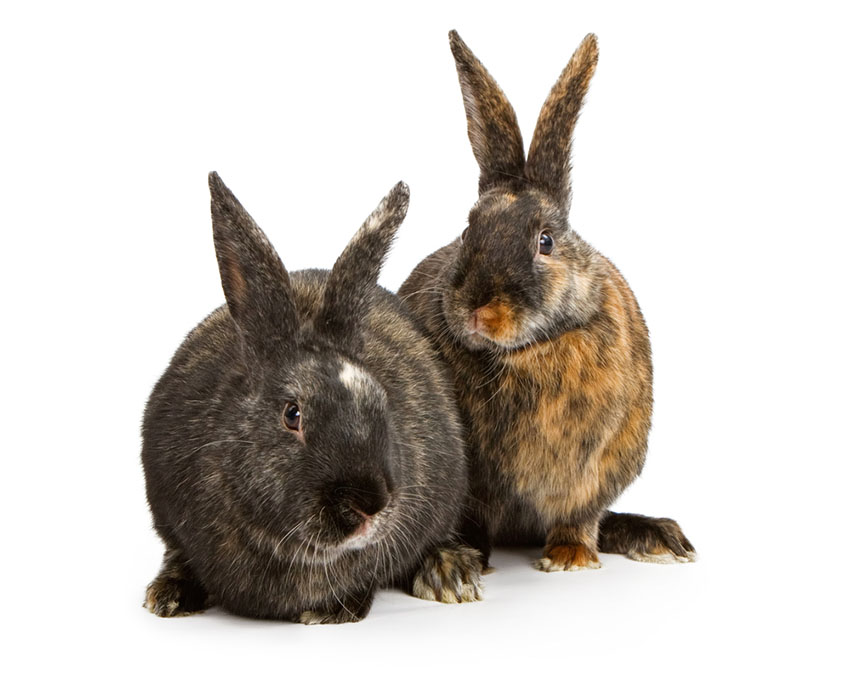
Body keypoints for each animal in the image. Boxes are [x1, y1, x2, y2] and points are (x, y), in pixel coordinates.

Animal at [142, 174, 480, 624]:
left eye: (381, 403)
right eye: (293, 414)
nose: (369, 505)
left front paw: (330, 612)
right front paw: (168, 595)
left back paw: (451, 575)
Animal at [400, 32, 696, 572]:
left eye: (546, 242)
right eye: (468, 230)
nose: (479, 310)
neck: (525, 353)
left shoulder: (591, 475)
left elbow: (579, 517)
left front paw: (569, 558)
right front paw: (466, 559)